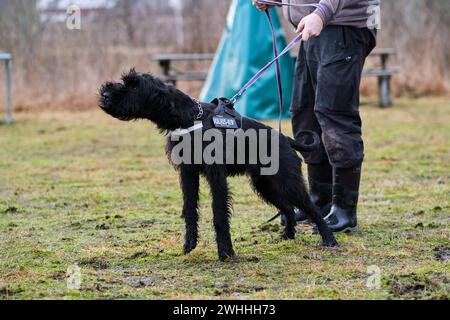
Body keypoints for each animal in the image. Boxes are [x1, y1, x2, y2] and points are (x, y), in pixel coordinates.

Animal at [99, 69, 338, 260]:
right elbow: (190, 209)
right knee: (287, 208)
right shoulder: (188, 173)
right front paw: (189, 244)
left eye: (134, 85)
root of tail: (286, 139)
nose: (105, 93)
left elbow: (219, 212)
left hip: (287, 182)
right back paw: (288, 236)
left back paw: (329, 239)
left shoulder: (216, 176)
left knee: (311, 208)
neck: (188, 118)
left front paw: (225, 252)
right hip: (266, 185)